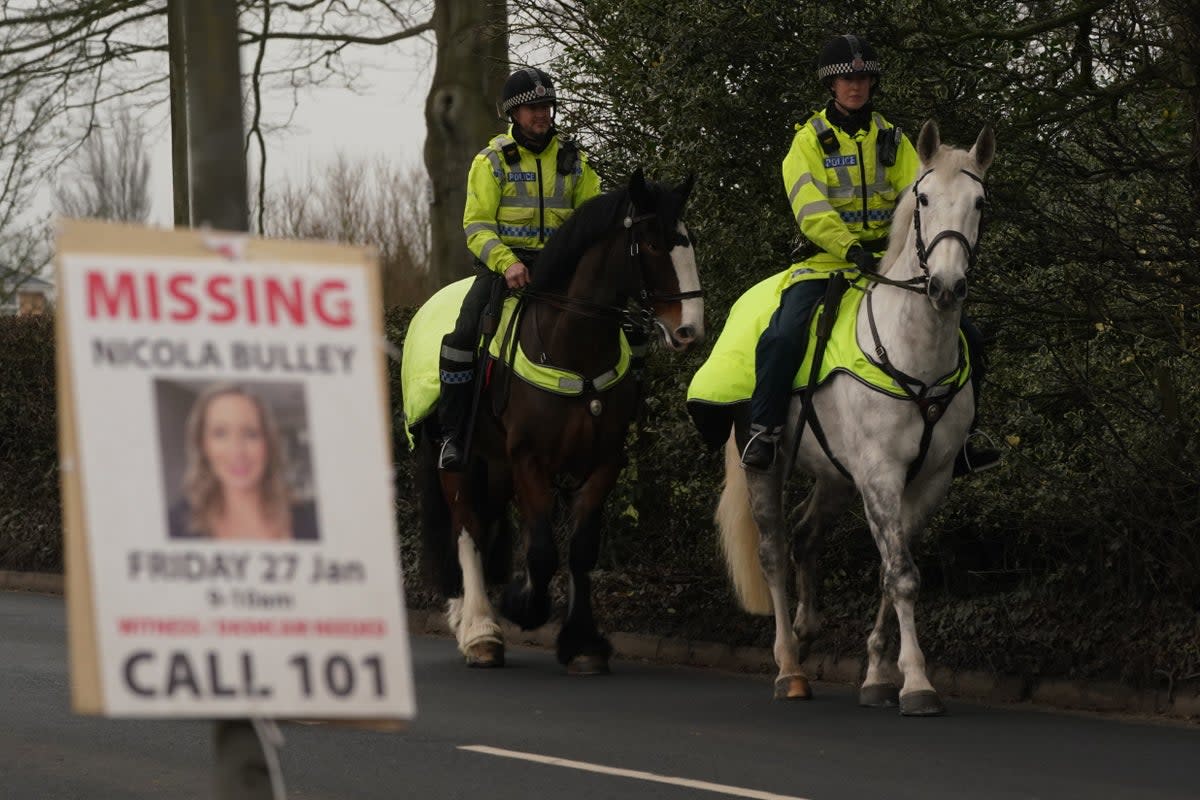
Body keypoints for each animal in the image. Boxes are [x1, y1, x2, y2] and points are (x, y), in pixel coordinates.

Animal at [410, 170, 700, 676]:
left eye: (688, 241)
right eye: (652, 244)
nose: (690, 330)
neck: (571, 345)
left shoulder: (603, 462)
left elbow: (580, 549)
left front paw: (583, 642)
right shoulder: (531, 461)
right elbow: (543, 549)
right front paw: (524, 605)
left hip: (495, 466)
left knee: (486, 528)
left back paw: (469, 620)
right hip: (459, 460)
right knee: (467, 530)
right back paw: (480, 632)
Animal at [715, 122, 988, 714]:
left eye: (979, 202)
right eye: (924, 199)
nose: (946, 287)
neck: (915, 353)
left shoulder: (927, 481)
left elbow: (893, 571)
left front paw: (879, 675)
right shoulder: (881, 475)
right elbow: (902, 576)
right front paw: (917, 682)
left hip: (837, 478)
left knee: (804, 535)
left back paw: (806, 631)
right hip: (766, 466)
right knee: (773, 552)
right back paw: (789, 668)